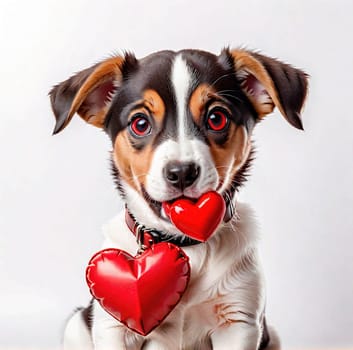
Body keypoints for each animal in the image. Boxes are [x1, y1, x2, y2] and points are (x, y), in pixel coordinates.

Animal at [48, 48, 306, 350]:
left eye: (217, 118)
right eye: (140, 123)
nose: (182, 173)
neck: (185, 243)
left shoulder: (238, 320)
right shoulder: (114, 327)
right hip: (77, 326)